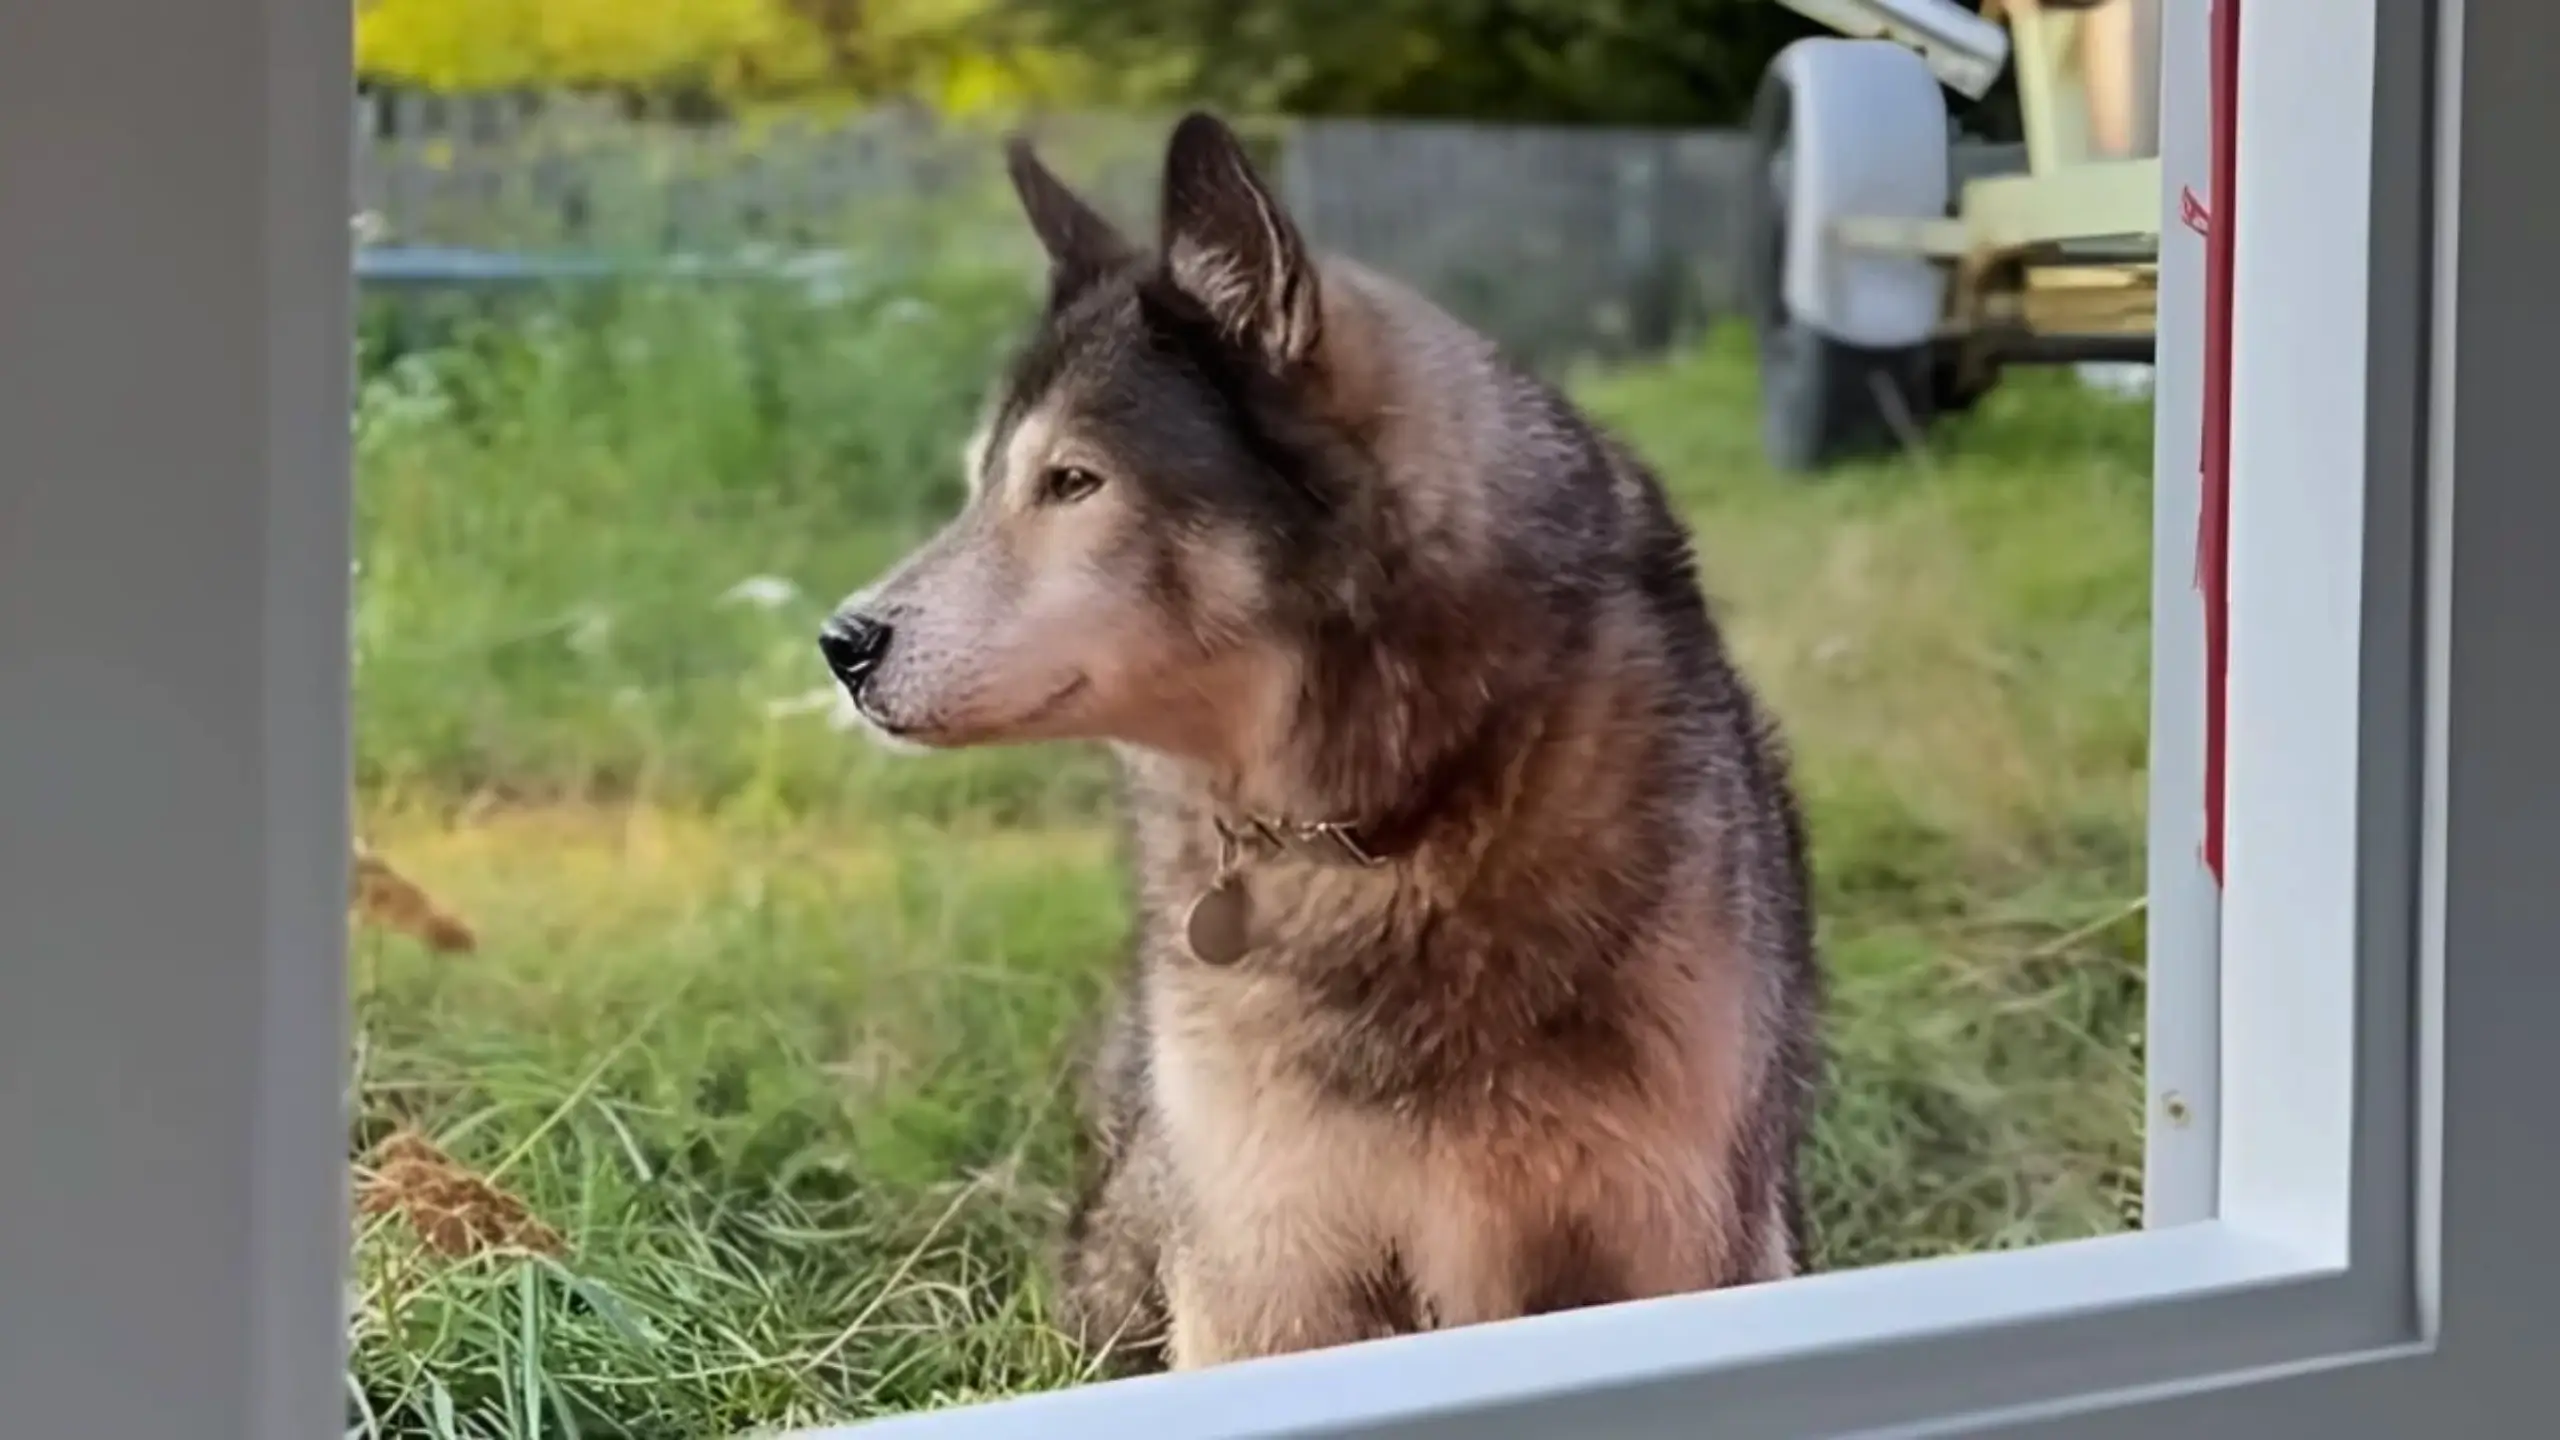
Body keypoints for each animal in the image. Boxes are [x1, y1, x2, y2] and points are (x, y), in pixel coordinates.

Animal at [819, 112, 1822, 1373]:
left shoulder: (1680, 1231)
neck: (1388, 824)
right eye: (979, 485)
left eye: (1071, 482)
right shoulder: (1270, 1270)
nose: (841, 644)